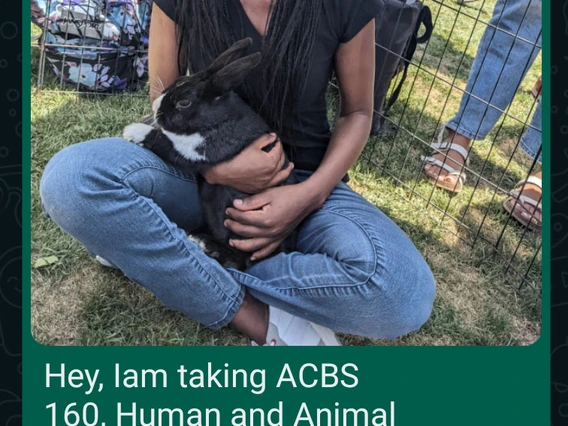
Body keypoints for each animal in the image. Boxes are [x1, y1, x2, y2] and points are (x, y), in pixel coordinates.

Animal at [121, 37, 298, 270]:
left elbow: (165, 142)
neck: (218, 117)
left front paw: (132, 131)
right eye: (178, 81)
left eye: (183, 103)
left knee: (238, 260)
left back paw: (204, 243)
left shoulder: (196, 152)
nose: (156, 107)